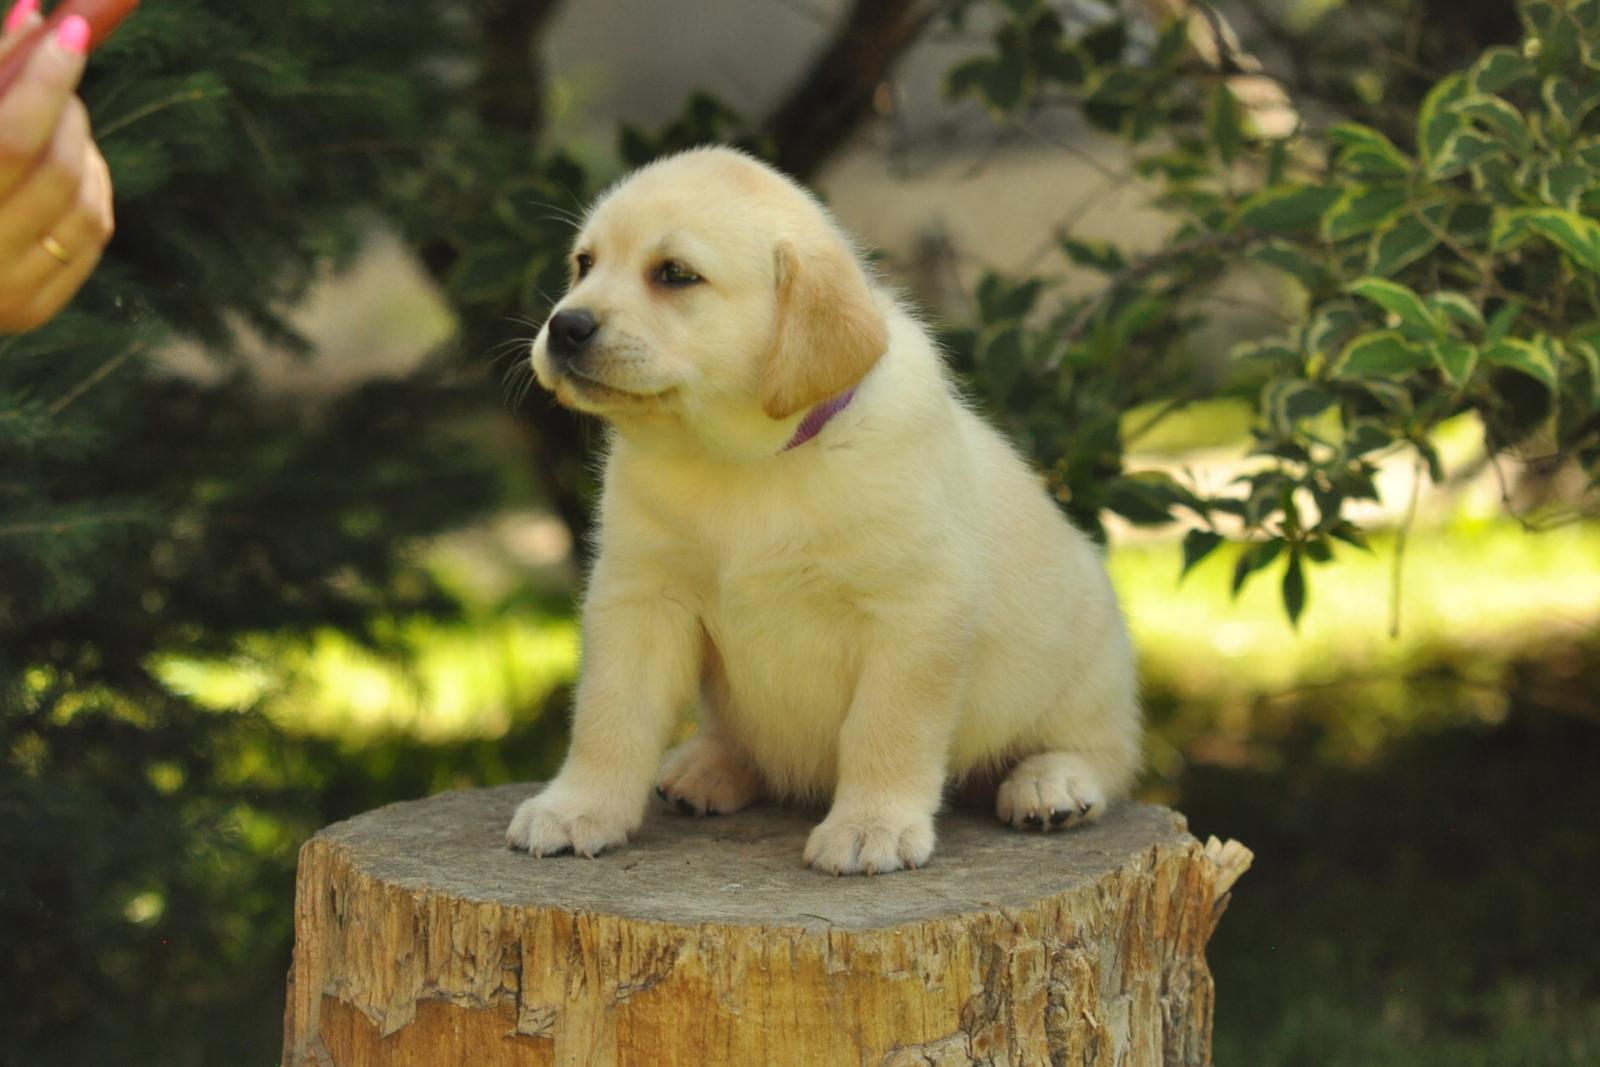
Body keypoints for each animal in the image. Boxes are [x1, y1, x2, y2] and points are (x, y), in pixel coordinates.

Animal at [505, 146, 1145, 870]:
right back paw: (709, 765)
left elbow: (886, 727)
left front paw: (872, 826)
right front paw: (577, 808)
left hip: (1090, 666)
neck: (744, 461)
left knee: (1102, 751)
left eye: (675, 274)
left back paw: (1051, 784)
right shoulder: (640, 597)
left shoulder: (914, 611)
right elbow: (609, 716)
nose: (564, 326)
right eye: (584, 264)